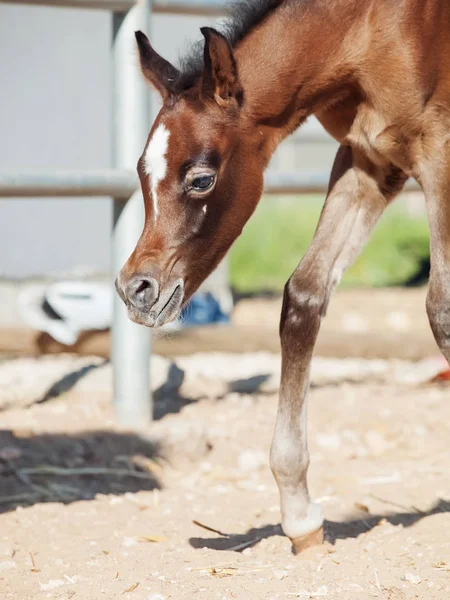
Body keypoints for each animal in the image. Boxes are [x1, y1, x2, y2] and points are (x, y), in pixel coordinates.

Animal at [115, 0, 450, 552]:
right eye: (143, 173)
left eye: (201, 179)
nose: (135, 291)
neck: (374, 29)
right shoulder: (370, 159)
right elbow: (305, 294)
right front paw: (300, 516)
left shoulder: (438, 156)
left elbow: (440, 306)